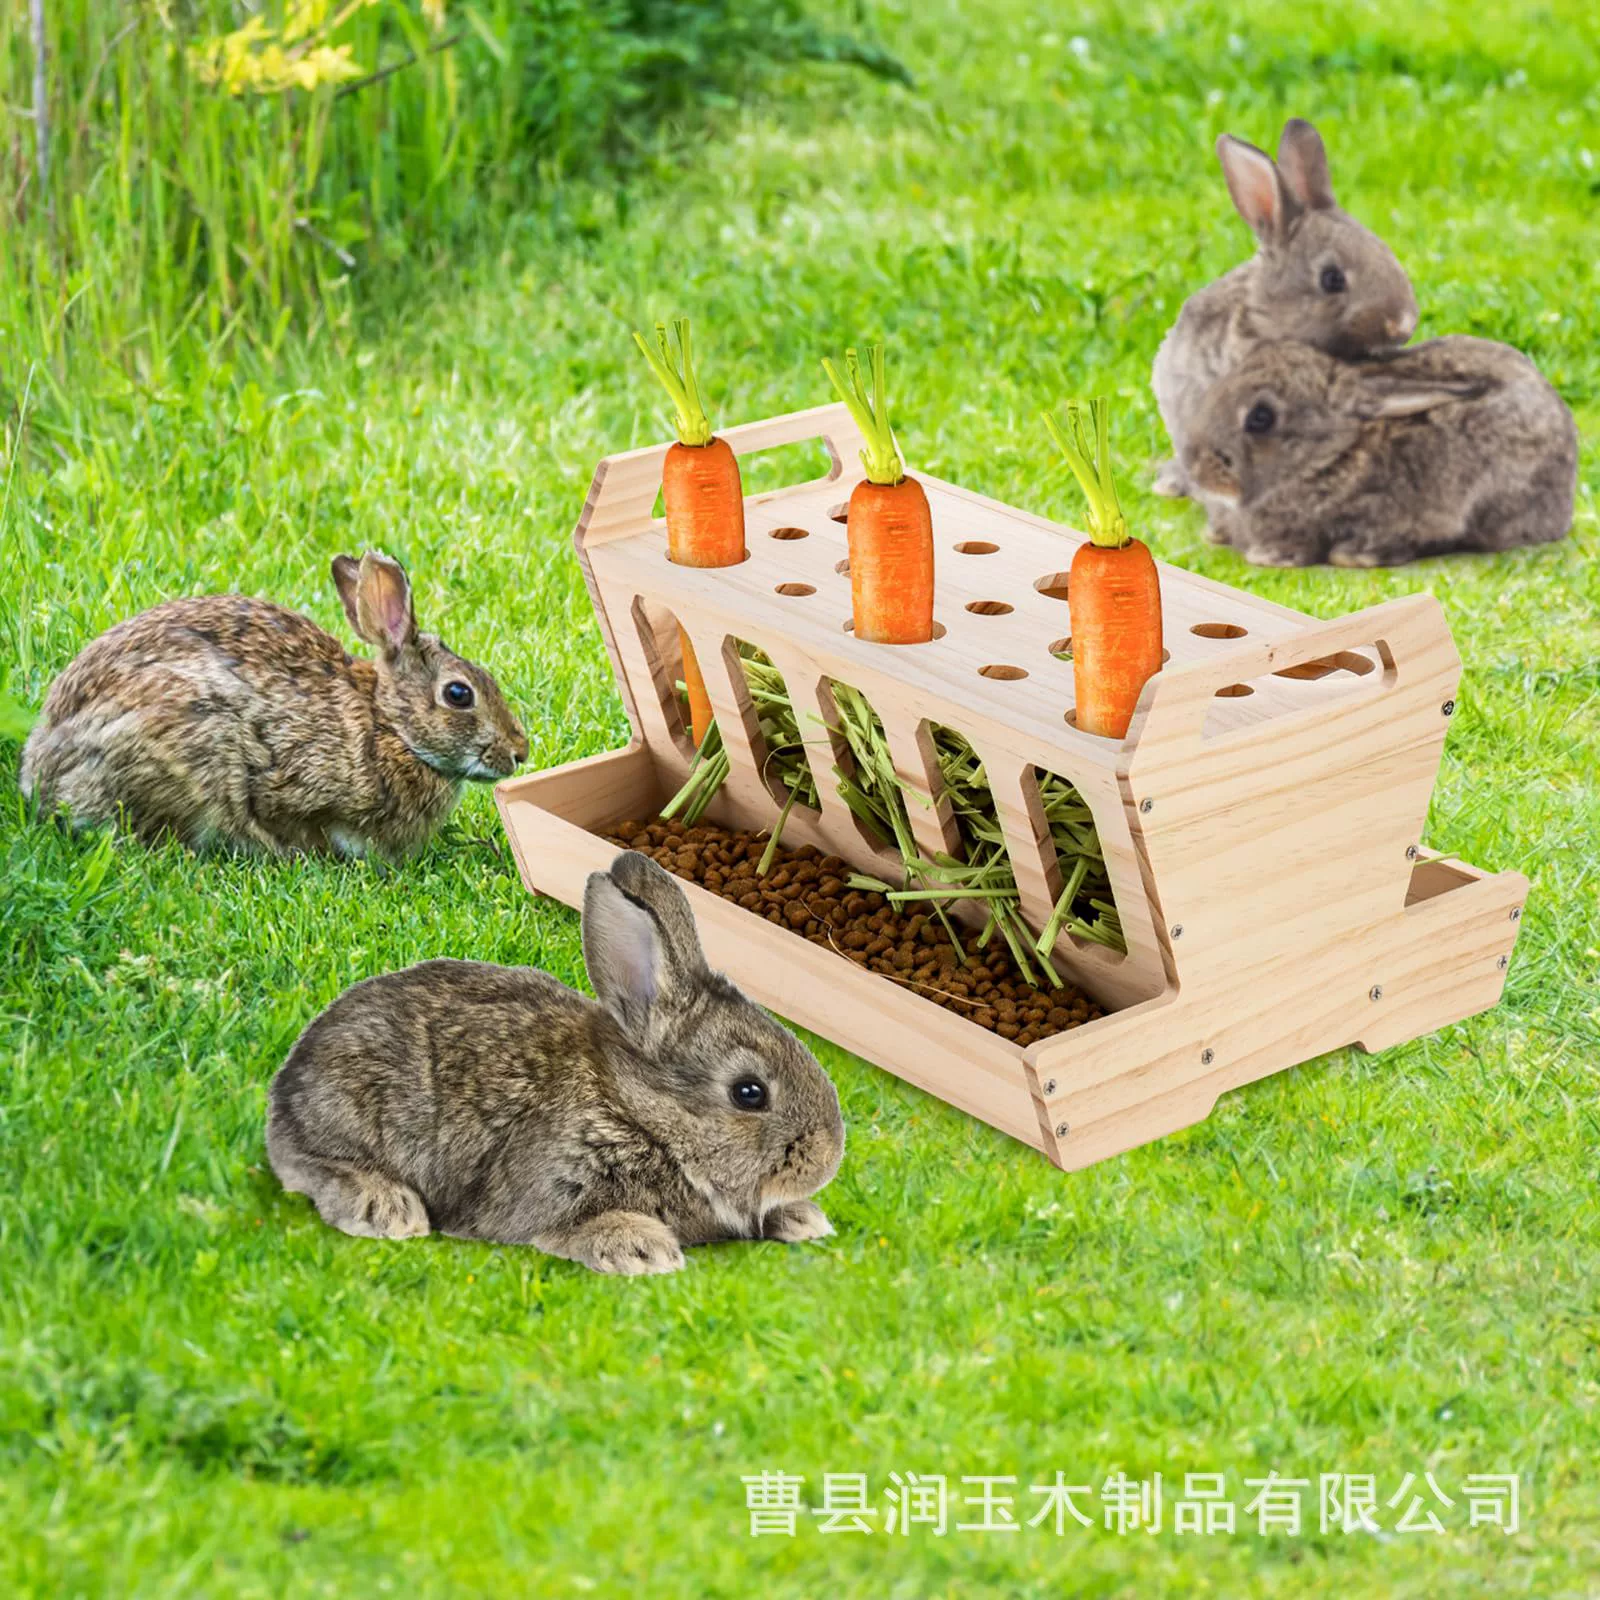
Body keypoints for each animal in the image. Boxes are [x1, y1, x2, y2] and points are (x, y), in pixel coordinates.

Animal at [266, 850, 846, 1274]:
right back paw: (386, 1207)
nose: (827, 1157)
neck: (637, 1112)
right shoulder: (545, 1192)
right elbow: (554, 1229)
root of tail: (287, 1082)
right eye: (749, 1093)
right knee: (308, 1163)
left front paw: (802, 1219)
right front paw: (640, 1247)